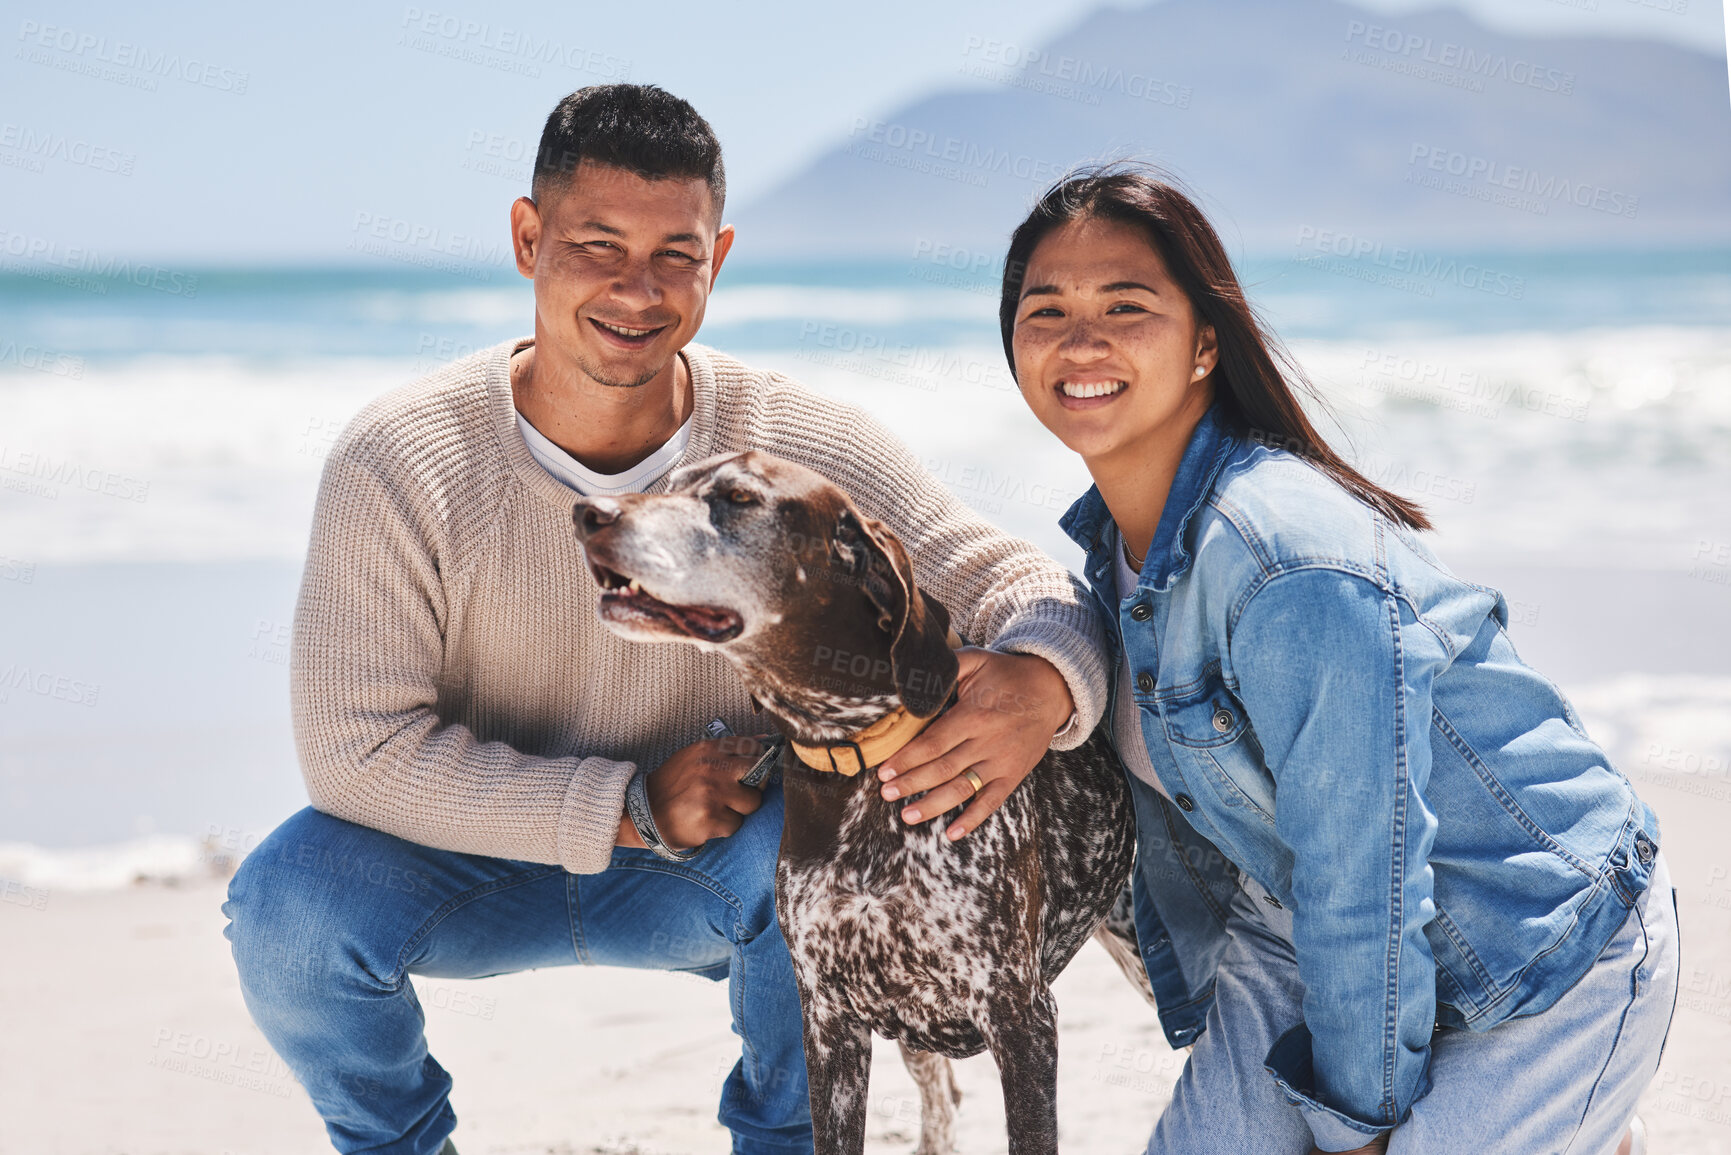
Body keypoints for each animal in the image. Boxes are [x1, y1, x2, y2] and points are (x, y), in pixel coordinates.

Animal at [571, 450, 1135, 1155]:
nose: (589, 513)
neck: (856, 758)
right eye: (668, 487)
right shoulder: (830, 1023)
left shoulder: (1019, 1016)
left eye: (738, 497)